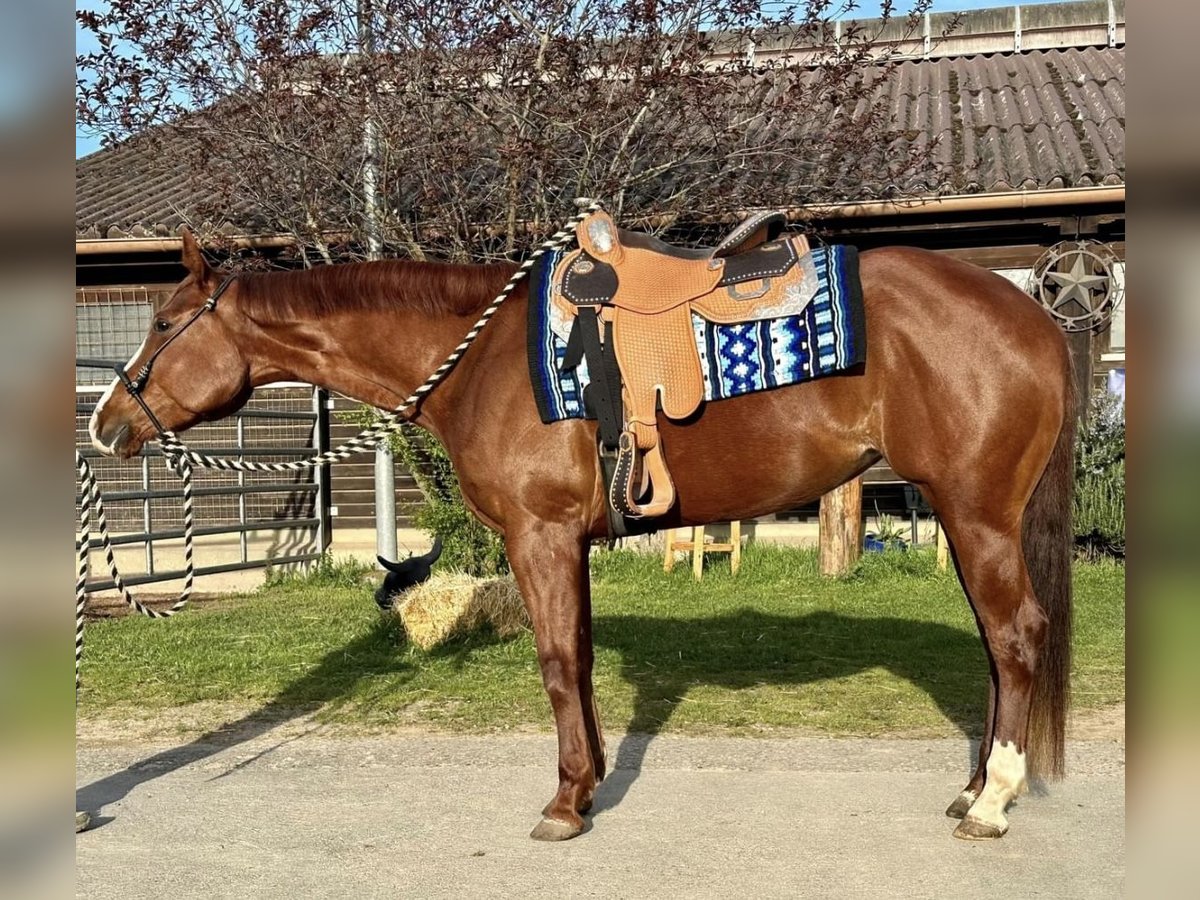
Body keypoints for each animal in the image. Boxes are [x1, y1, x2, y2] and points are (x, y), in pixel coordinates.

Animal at [88, 230, 1075, 844]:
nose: (106, 424)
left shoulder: (542, 536)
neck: (480, 358)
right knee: (995, 647)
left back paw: (991, 804)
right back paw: (972, 787)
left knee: (1016, 637)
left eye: (166, 323)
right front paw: (591, 782)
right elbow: (584, 657)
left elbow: (559, 661)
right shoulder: (567, 545)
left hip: (976, 514)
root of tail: (1037, 316)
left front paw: (565, 802)